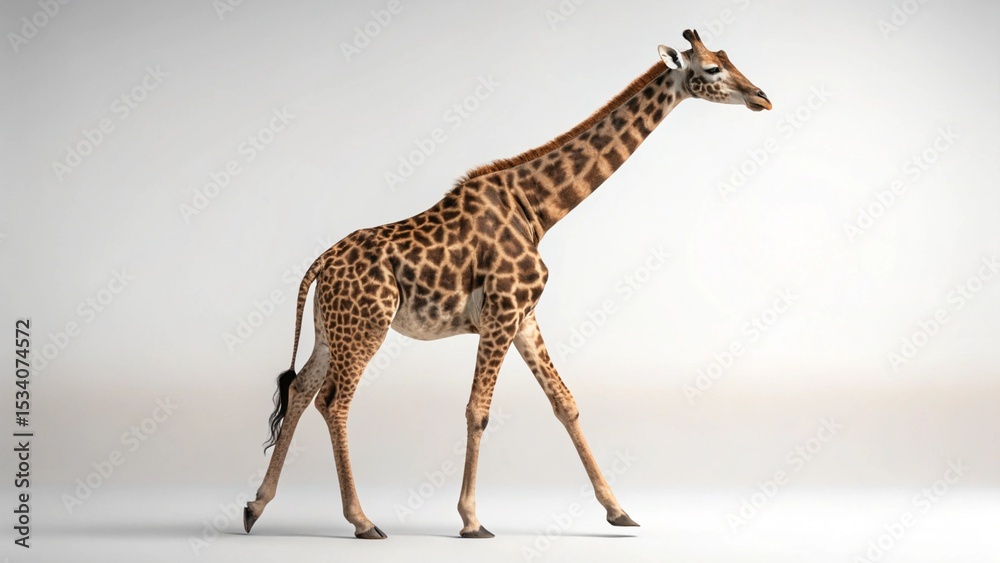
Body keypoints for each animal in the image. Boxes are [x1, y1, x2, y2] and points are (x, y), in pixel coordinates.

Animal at [243, 29, 770, 539]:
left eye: (728, 57)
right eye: (712, 68)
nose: (762, 97)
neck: (537, 209)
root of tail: (320, 264)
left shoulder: (524, 316)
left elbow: (565, 403)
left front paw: (619, 511)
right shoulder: (501, 313)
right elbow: (478, 410)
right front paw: (471, 520)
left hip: (331, 330)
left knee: (301, 389)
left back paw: (256, 506)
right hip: (366, 328)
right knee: (334, 402)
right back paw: (362, 520)